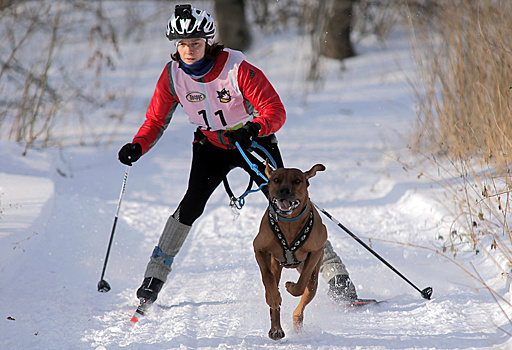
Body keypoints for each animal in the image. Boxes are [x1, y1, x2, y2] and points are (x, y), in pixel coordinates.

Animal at [253, 163, 328, 340]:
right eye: (276, 179)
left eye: (297, 180)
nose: (284, 190)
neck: (289, 223)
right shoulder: (259, 248)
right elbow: (267, 276)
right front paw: (273, 297)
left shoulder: (316, 250)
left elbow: (302, 283)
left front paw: (291, 287)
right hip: (275, 264)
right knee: (273, 285)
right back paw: (276, 328)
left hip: (313, 275)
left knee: (306, 295)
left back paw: (295, 320)